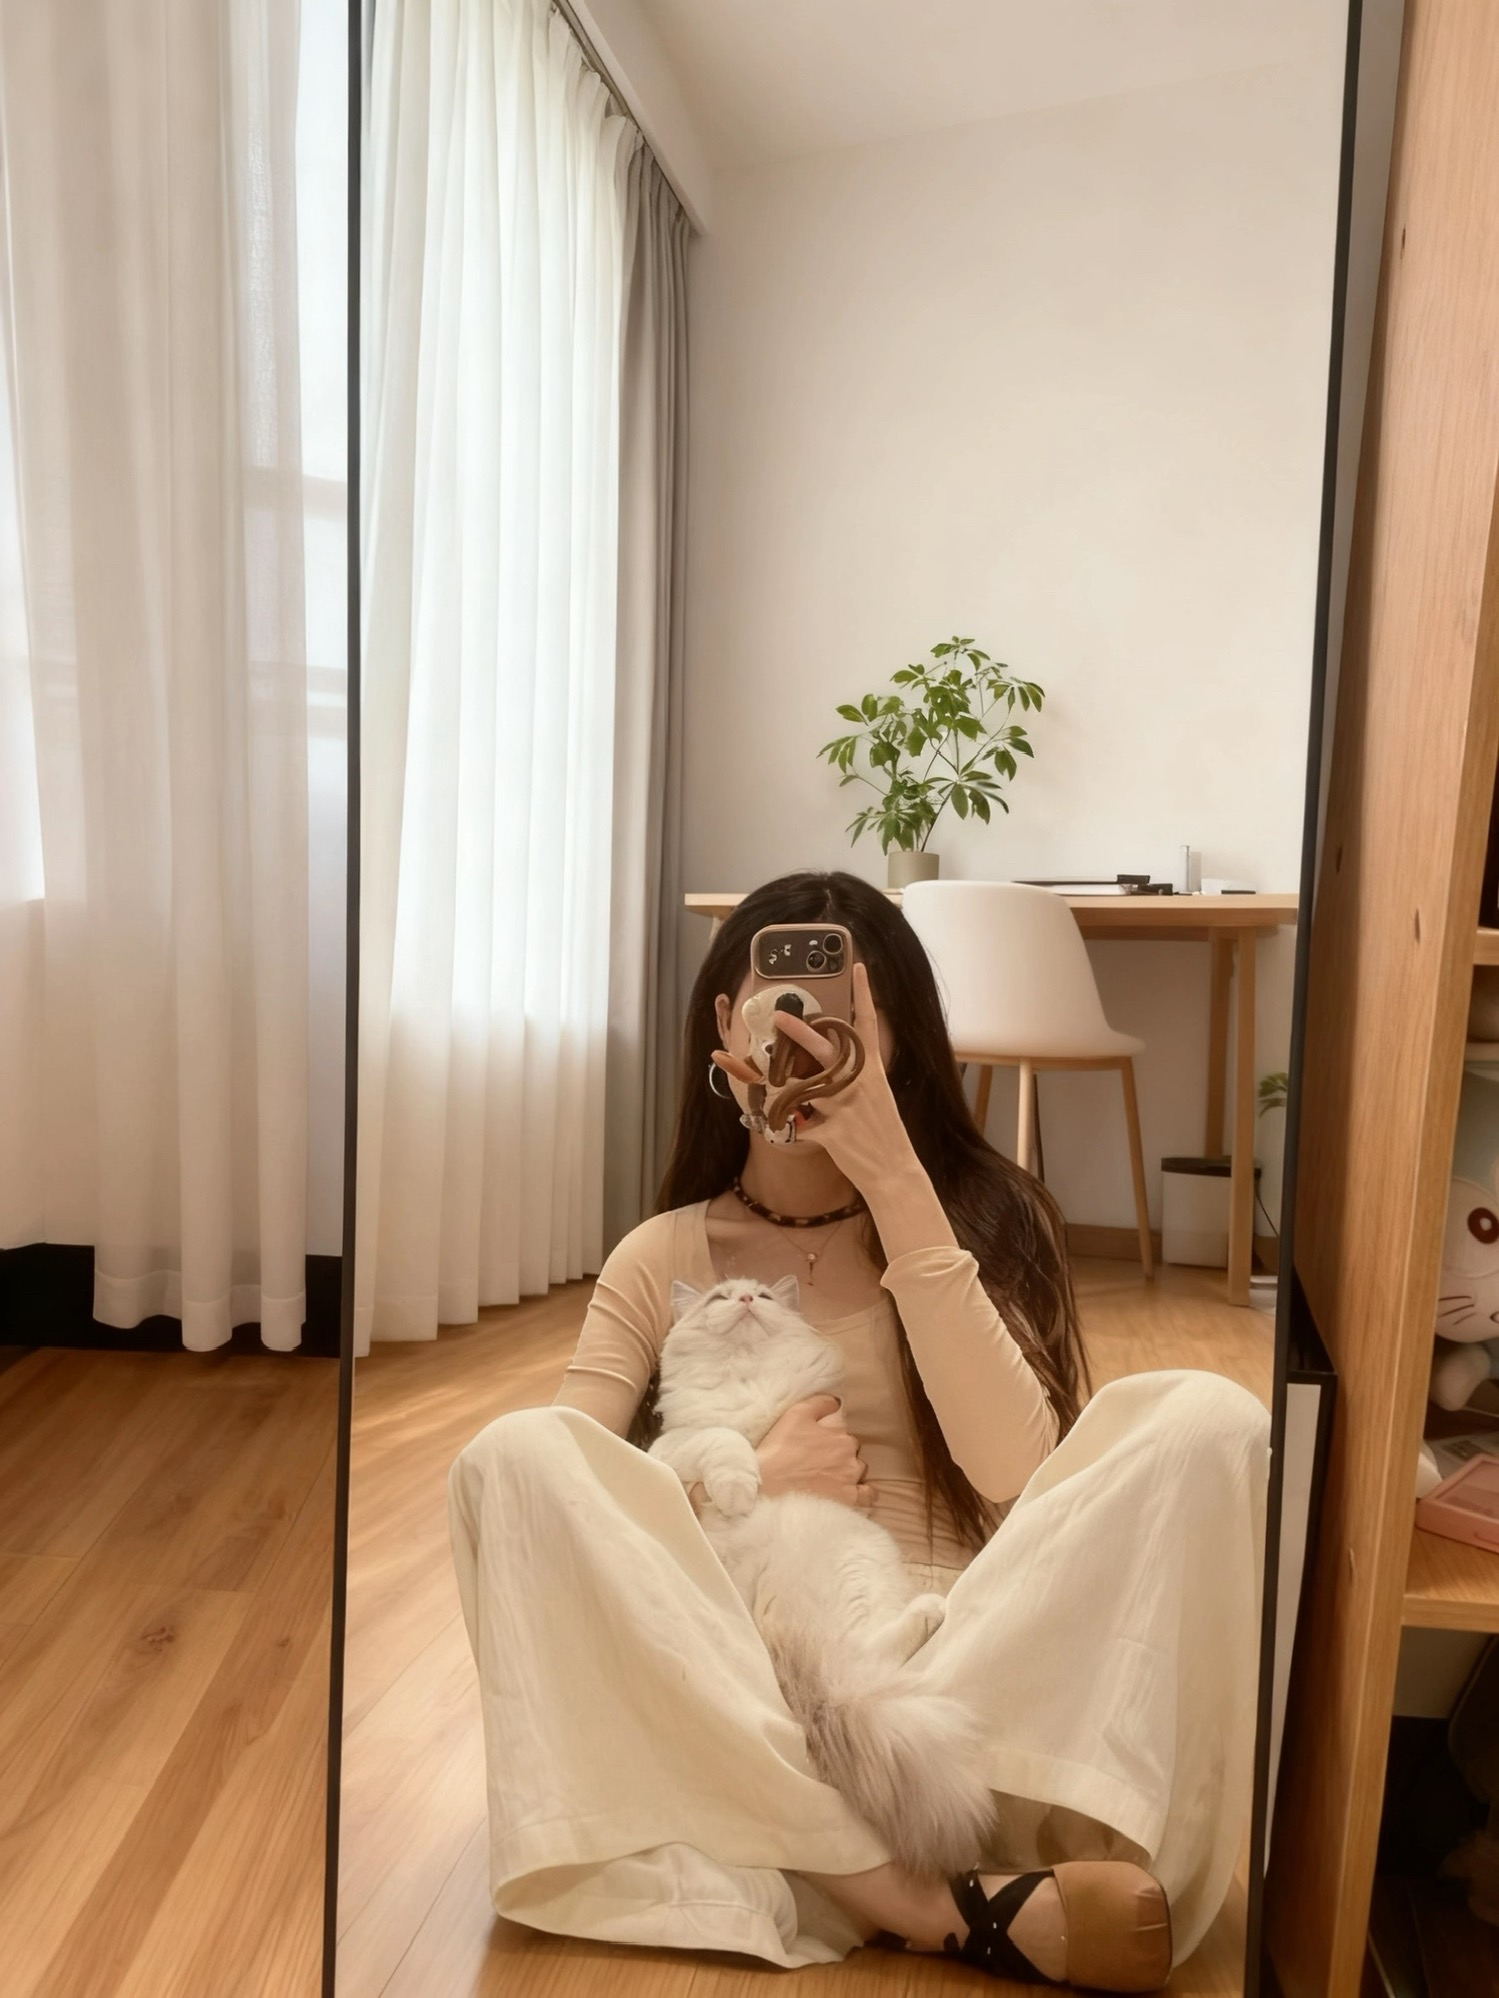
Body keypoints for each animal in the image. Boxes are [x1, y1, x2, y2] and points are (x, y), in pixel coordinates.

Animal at [649, 1275, 996, 1877]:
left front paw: (739, 1491)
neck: (747, 1375)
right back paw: (929, 1613)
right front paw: (739, 1491)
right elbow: (724, 1439)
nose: (745, 1302)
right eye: (720, 1299)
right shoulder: (671, 1444)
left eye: (763, 1297)